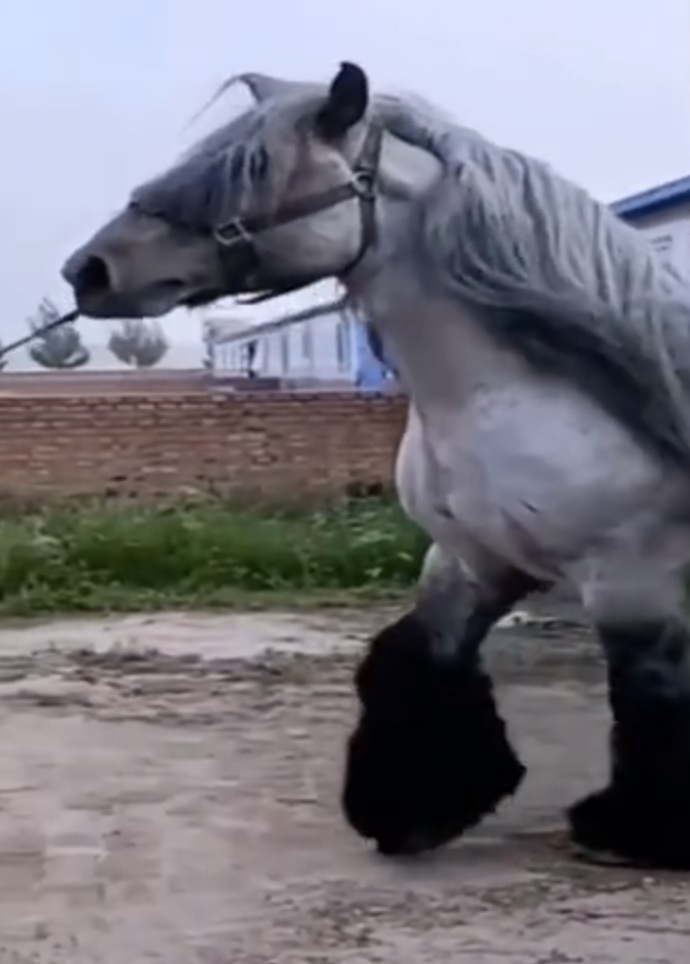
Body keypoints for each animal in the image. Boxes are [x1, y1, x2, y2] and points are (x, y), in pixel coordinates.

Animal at [61, 61, 690, 870]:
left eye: (252, 171)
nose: (88, 270)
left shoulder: (629, 578)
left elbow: (650, 695)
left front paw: (634, 831)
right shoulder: (469, 560)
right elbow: (414, 658)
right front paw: (412, 810)